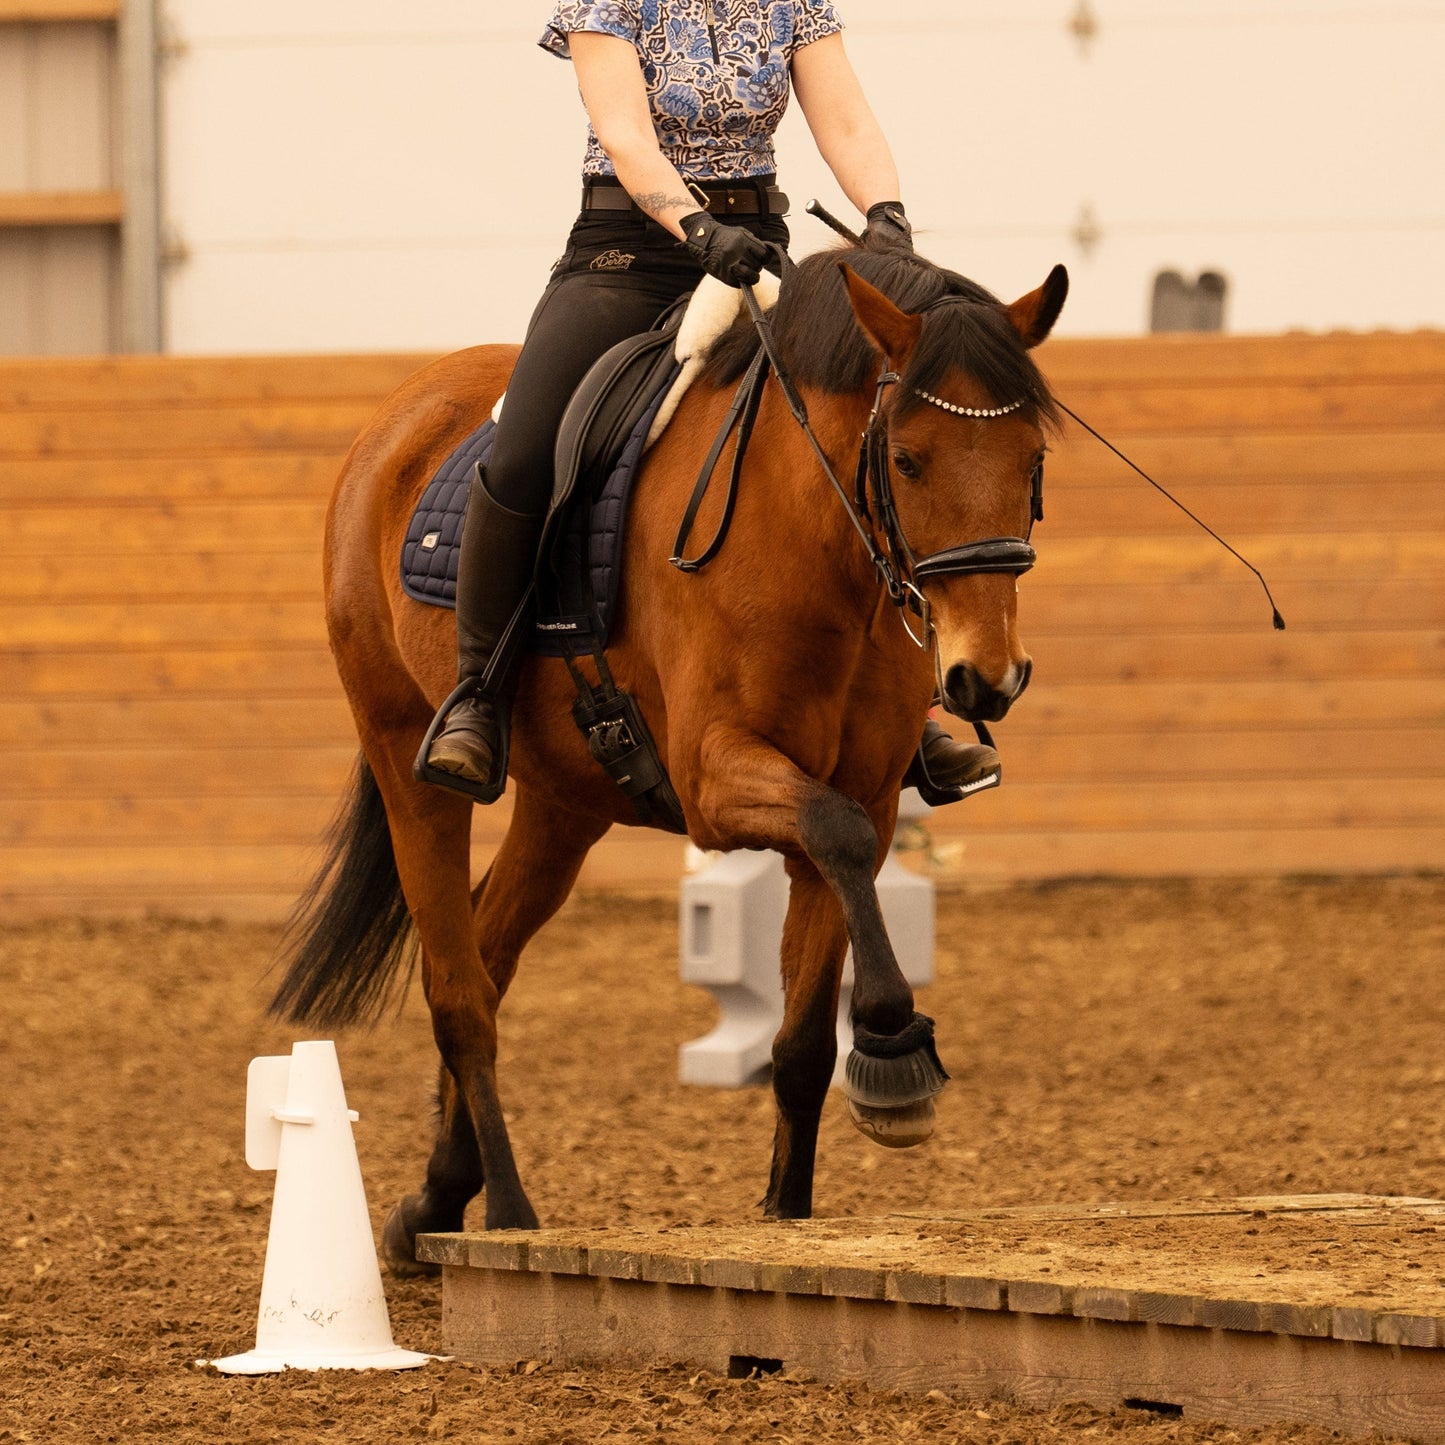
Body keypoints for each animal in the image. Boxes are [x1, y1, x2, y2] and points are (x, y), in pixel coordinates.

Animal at [270, 237, 1067, 1272]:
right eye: (906, 458)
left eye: (1032, 460)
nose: (984, 678)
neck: (810, 536)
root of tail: (402, 411)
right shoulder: (715, 775)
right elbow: (836, 836)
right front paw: (895, 1048)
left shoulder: (866, 788)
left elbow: (803, 1035)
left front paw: (789, 1209)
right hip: (406, 748)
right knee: (458, 989)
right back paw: (508, 1213)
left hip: (564, 804)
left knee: (488, 950)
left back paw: (438, 1195)